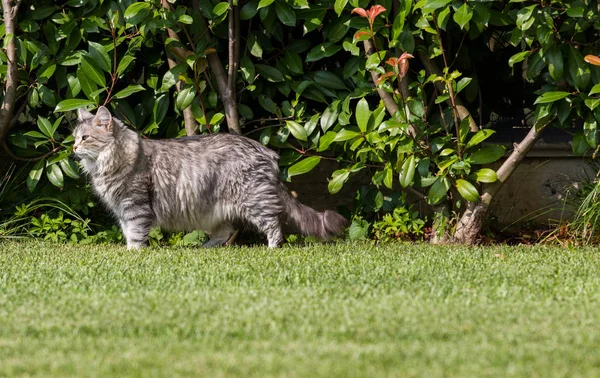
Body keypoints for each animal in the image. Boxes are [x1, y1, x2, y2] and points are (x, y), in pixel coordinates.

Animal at [72, 105, 346, 248]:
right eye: (75, 138)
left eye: (85, 138)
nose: (73, 148)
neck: (107, 165)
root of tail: (265, 151)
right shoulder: (122, 210)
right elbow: (128, 232)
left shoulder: (135, 205)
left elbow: (136, 235)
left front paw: (132, 254)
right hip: (216, 210)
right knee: (225, 233)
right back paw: (204, 249)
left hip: (254, 201)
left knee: (274, 225)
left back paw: (271, 249)